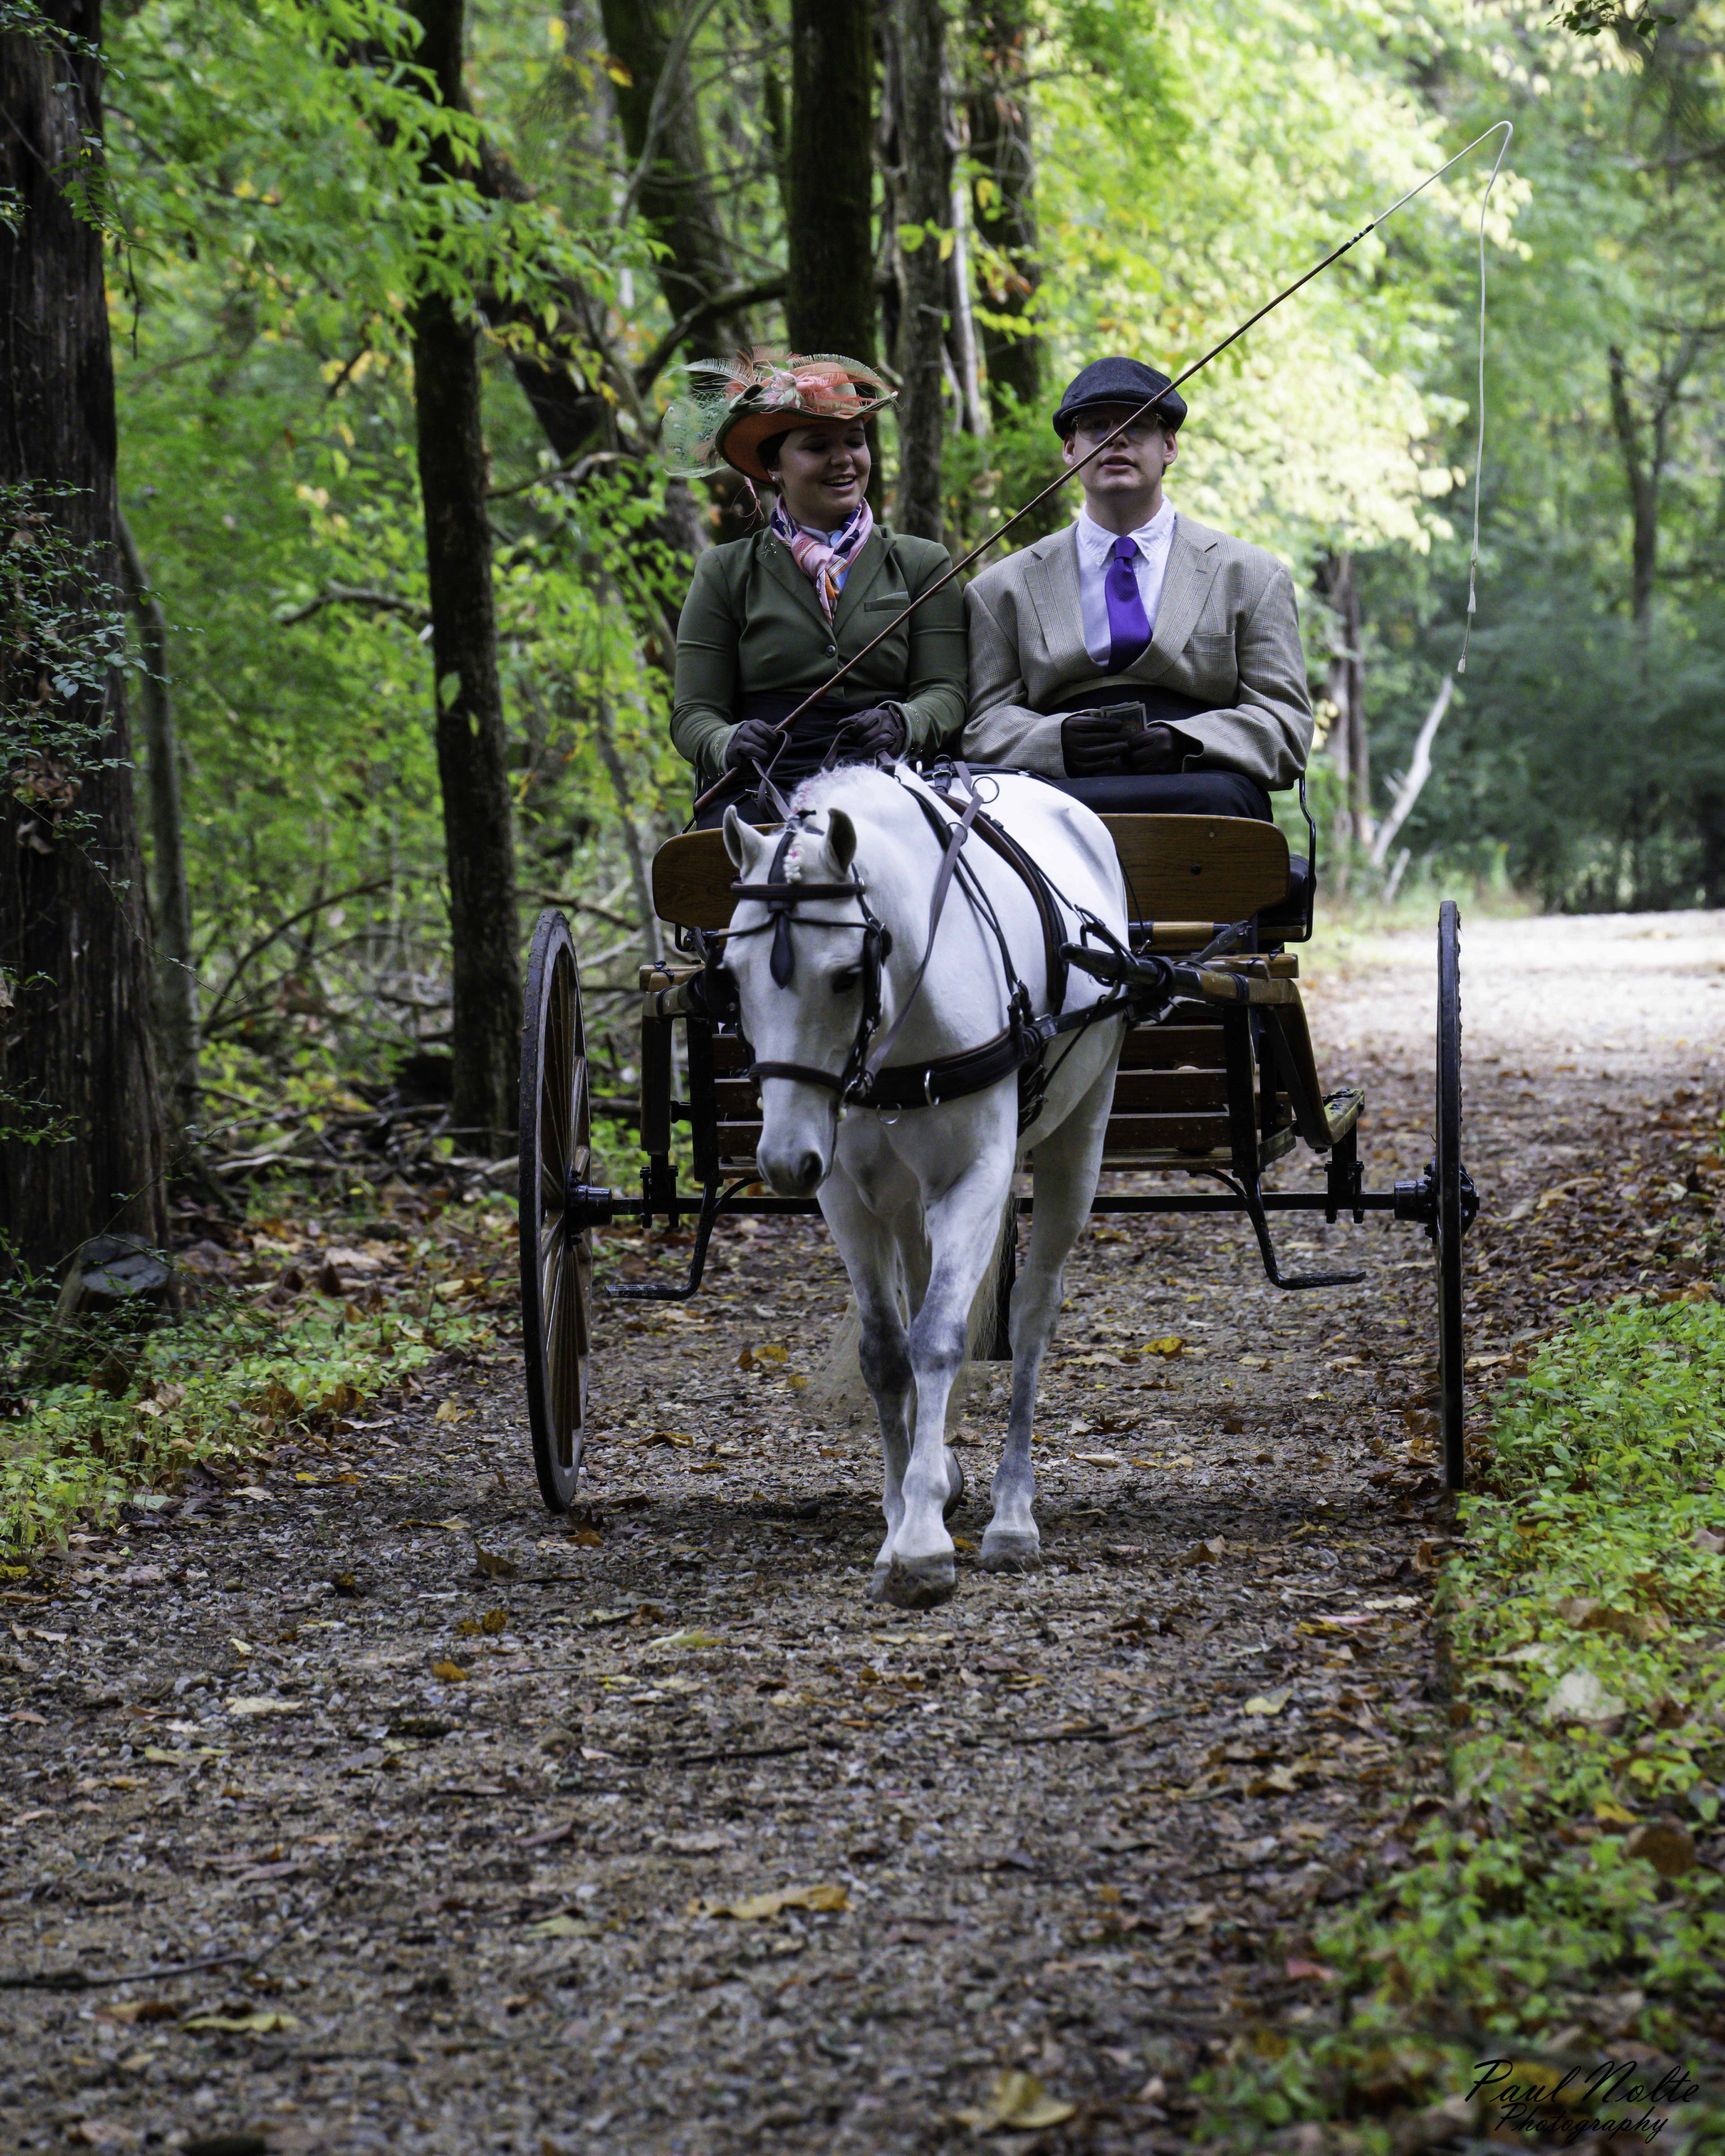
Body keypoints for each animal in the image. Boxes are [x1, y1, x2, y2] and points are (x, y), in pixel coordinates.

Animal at [716, 768, 1130, 1613]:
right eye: (730, 981)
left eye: (845, 975)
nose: (782, 1160)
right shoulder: (843, 1191)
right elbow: (885, 1352)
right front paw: (903, 1506)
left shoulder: (973, 1176)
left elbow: (936, 1336)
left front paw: (919, 1546)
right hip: (900, 1196)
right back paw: (934, 1475)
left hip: (1081, 1128)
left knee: (1033, 1313)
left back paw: (1011, 1515)